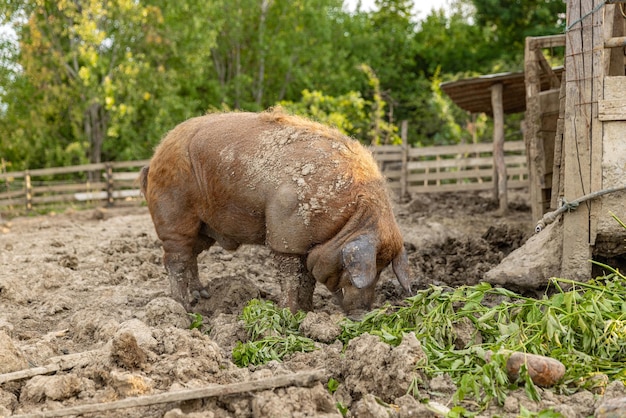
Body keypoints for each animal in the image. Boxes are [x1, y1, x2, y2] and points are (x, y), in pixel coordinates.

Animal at [140, 109, 412, 318]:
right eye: (365, 270)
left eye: (383, 269)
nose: (363, 315)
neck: (346, 219)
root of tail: (154, 159)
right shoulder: (285, 233)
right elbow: (290, 276)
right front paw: (289, 314)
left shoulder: (305, 244)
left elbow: (308, 279)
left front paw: (308, 312)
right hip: (173, 214)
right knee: (175, 260)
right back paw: (184, 309)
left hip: (204, 228)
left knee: (191, 256)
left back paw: (203, 295)